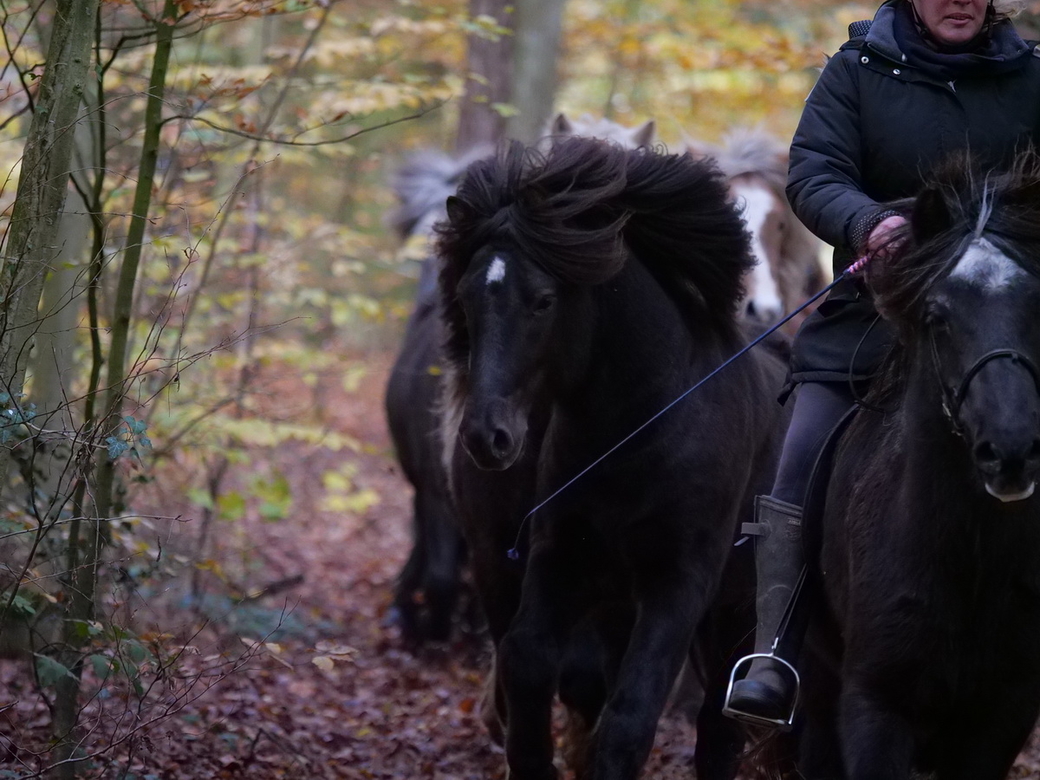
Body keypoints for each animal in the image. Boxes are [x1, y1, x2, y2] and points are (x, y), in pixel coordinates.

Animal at [436, 137, 786, 777]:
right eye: (468, 296)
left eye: (544, 300)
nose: (485, 436)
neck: (640, 430)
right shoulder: (560, 556)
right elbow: (527, 662)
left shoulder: (678, 583)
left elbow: (631, 714)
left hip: (735, 611)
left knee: (717, 726)